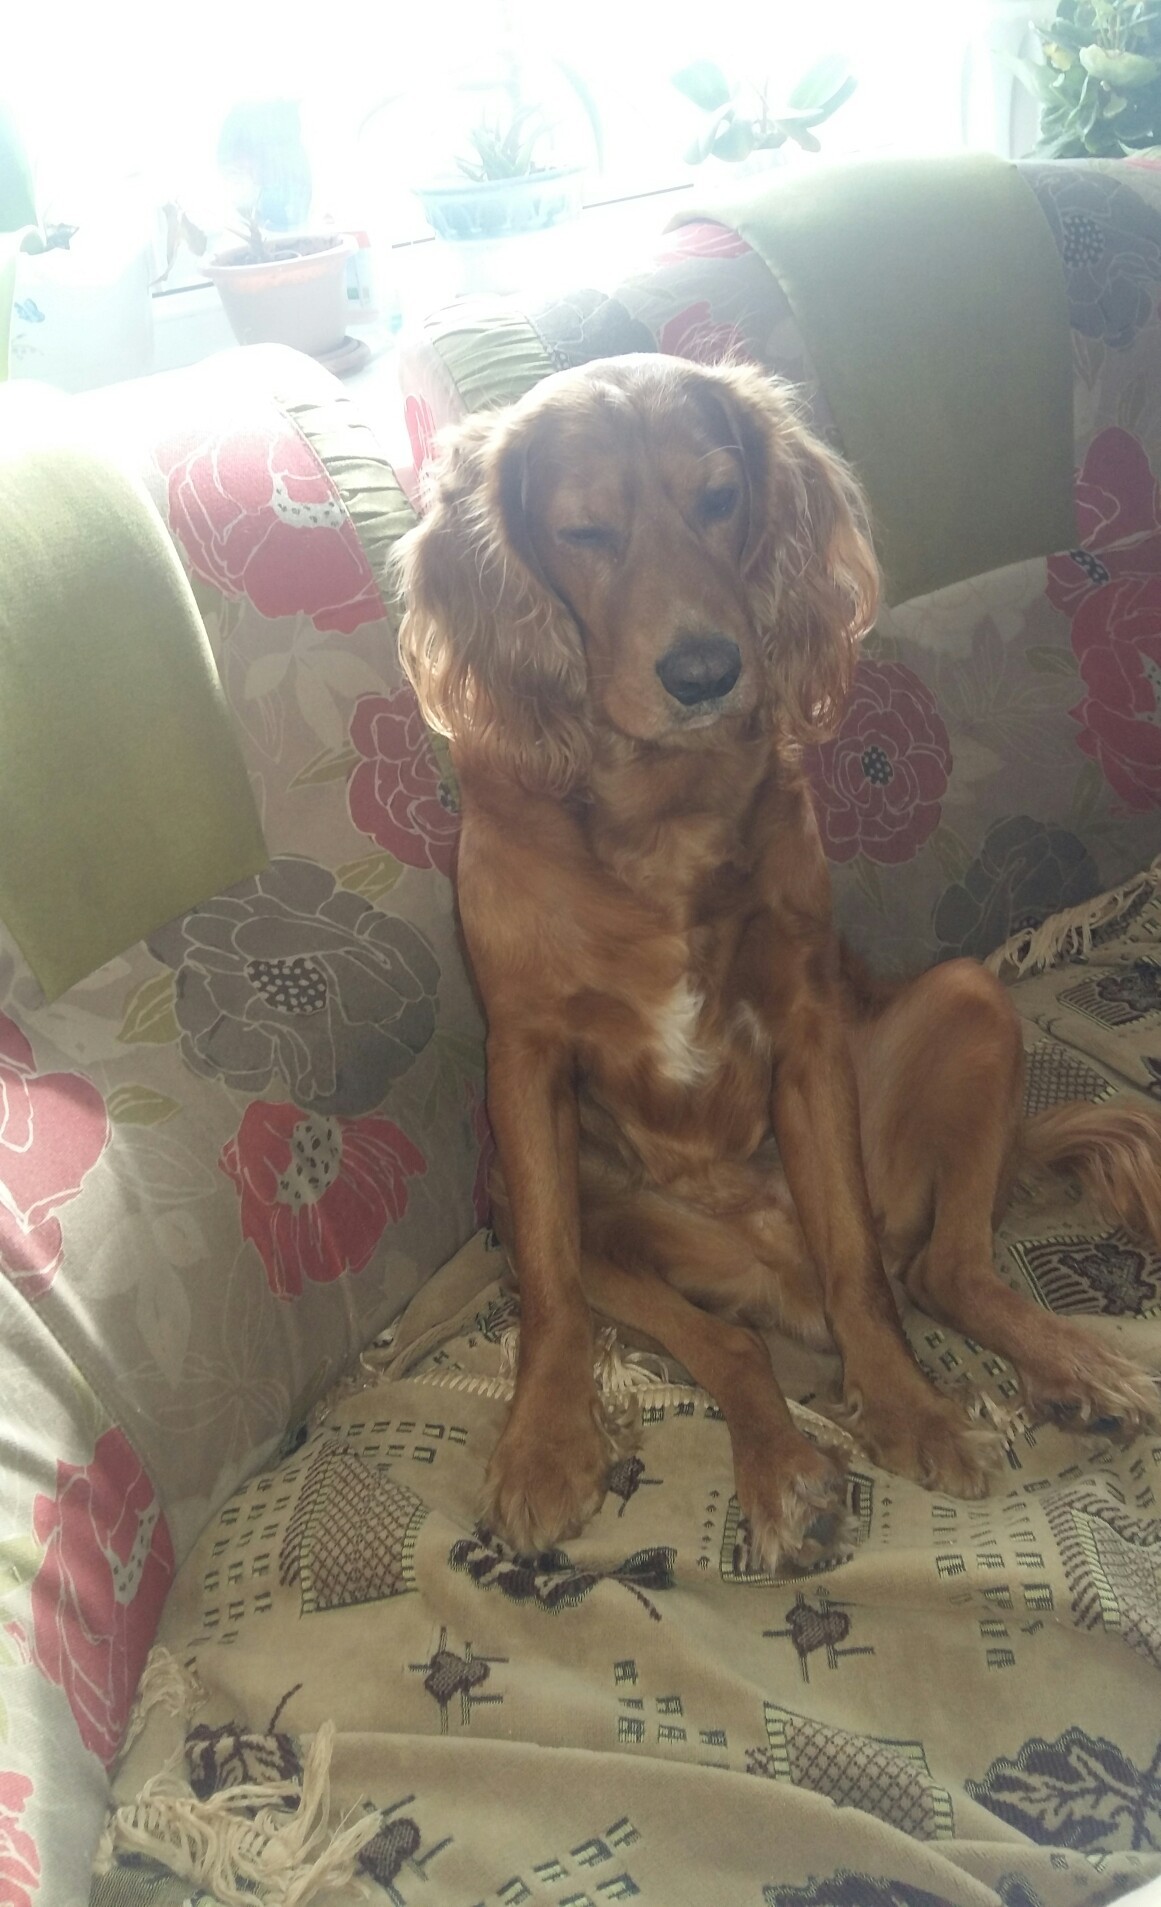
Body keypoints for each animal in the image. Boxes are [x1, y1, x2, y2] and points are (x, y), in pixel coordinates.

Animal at [396, 354, 1159, 1563]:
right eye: (584, 531)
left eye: (719, 499)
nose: (707, 669)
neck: (660, 810)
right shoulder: (521, 1053)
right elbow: (555, 1294)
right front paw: (546, 1440)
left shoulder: (806, 1028)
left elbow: (858, 1265)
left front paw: (905, 1405)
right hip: (530, 1201)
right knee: (729, 1340)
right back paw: (785, 1470)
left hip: (970, 1001)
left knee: (939, 1266)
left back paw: (1076, 1365)